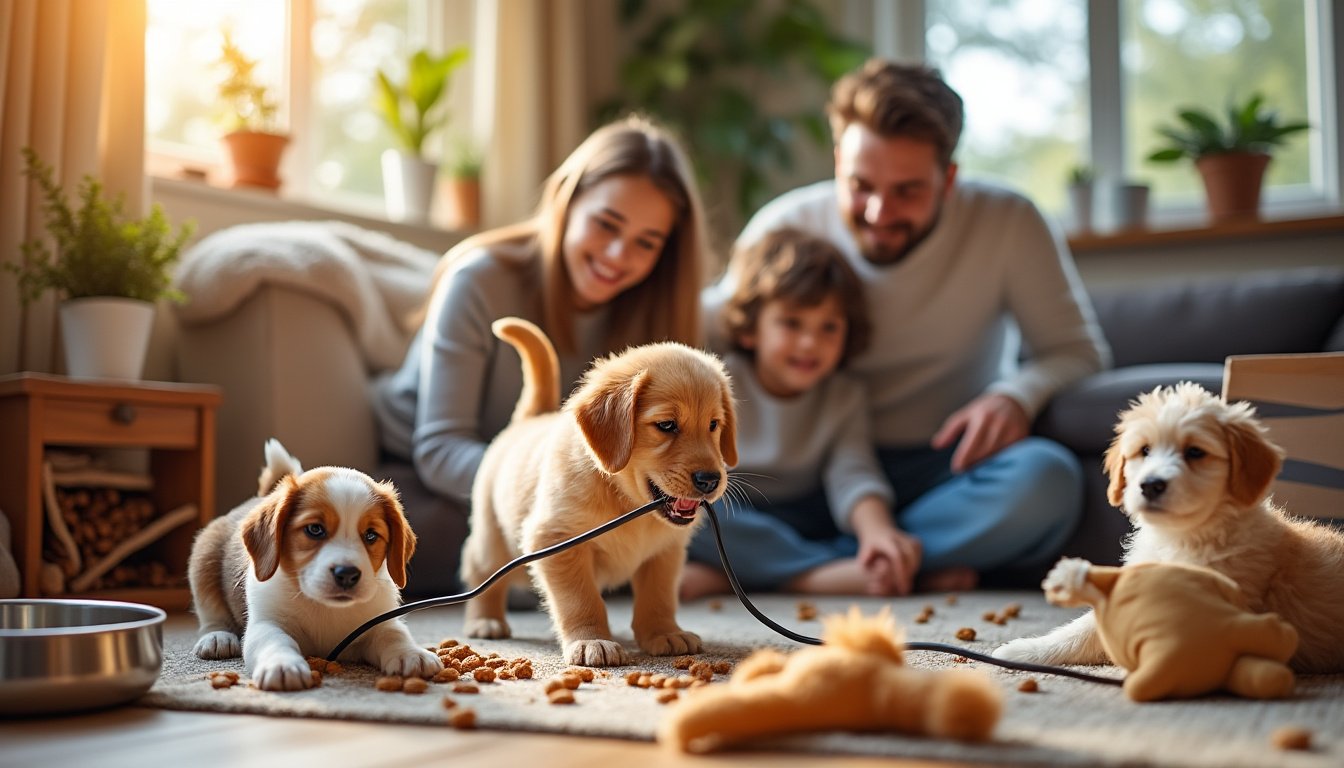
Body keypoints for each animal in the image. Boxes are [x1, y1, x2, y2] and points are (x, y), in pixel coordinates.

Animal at [188, 441, 440, 694]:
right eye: (315, 529)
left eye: (370, 535)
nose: (347, 575)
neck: (326, 608)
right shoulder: (265, 622)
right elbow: (275, 640)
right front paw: (283, 664)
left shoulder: (377, 621)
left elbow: (393, 634)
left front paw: (411, 653)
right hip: (203, 560)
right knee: (211, 614)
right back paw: (217, 638)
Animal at [459, 318, 736, 667]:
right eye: (666, 425)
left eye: (714, 425)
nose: (710, 480)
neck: (624, 498)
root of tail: (529, 420)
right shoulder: (556, 540)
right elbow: (581, 598)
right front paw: (592, 640)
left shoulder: (665, 550)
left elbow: (658, 595)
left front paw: (664, 632)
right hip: (495, 542)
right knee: (481, 572)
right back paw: (485, 619)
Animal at [994, 384, 1344, 672]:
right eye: (1144, 450)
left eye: (1195, 452)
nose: (1150, 485)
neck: (1181, 538)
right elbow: (1083, 629)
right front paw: (1024, 650)